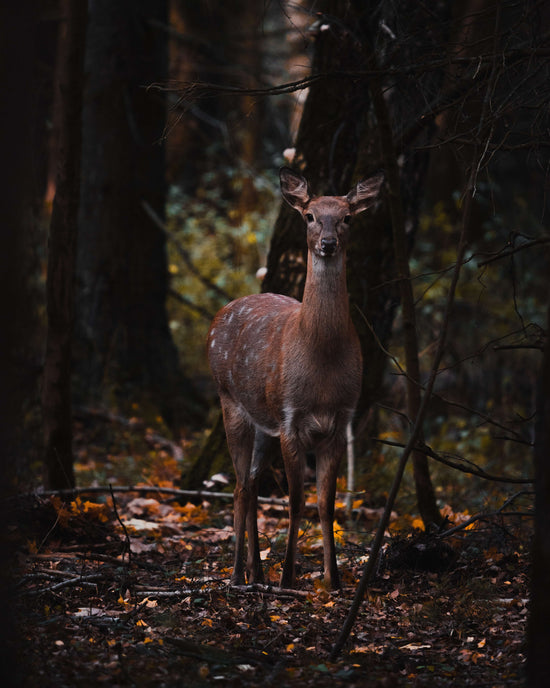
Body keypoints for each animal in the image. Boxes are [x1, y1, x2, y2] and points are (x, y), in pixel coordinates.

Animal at [209, 167, 386, 592]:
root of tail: (216, 317)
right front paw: (289, 577)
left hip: (263, 422)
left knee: (253, 482)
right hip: (229, 399)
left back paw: (256, 572)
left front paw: (333, 580)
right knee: (240, 485)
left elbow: (325, 503)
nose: (328, 243)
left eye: (347, 217)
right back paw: (237, 575)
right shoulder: (290, 418)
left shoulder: (340, 420)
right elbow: (295, 500)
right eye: (309, 216)